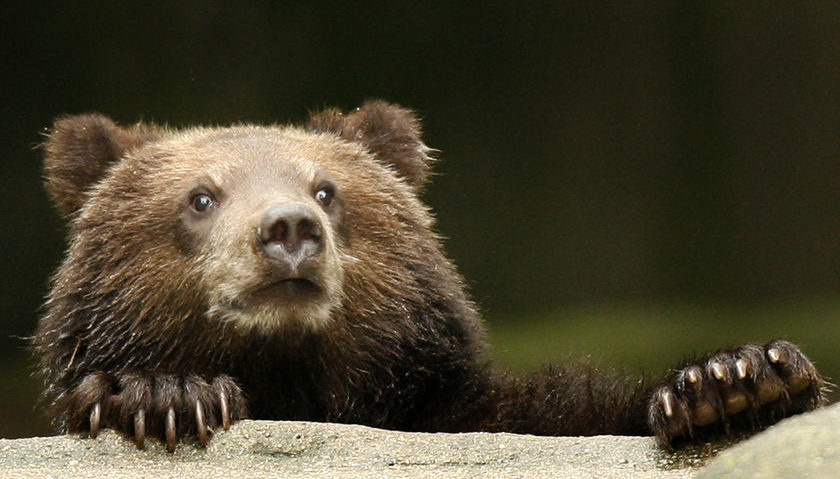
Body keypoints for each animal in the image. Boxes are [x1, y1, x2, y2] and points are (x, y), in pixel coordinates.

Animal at [36, 99, 824, 452]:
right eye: (201, 197)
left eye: (327, 189)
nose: (289, 231)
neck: (295, 383)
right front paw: (161, 395)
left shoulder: (462, 412)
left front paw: (732, 380)